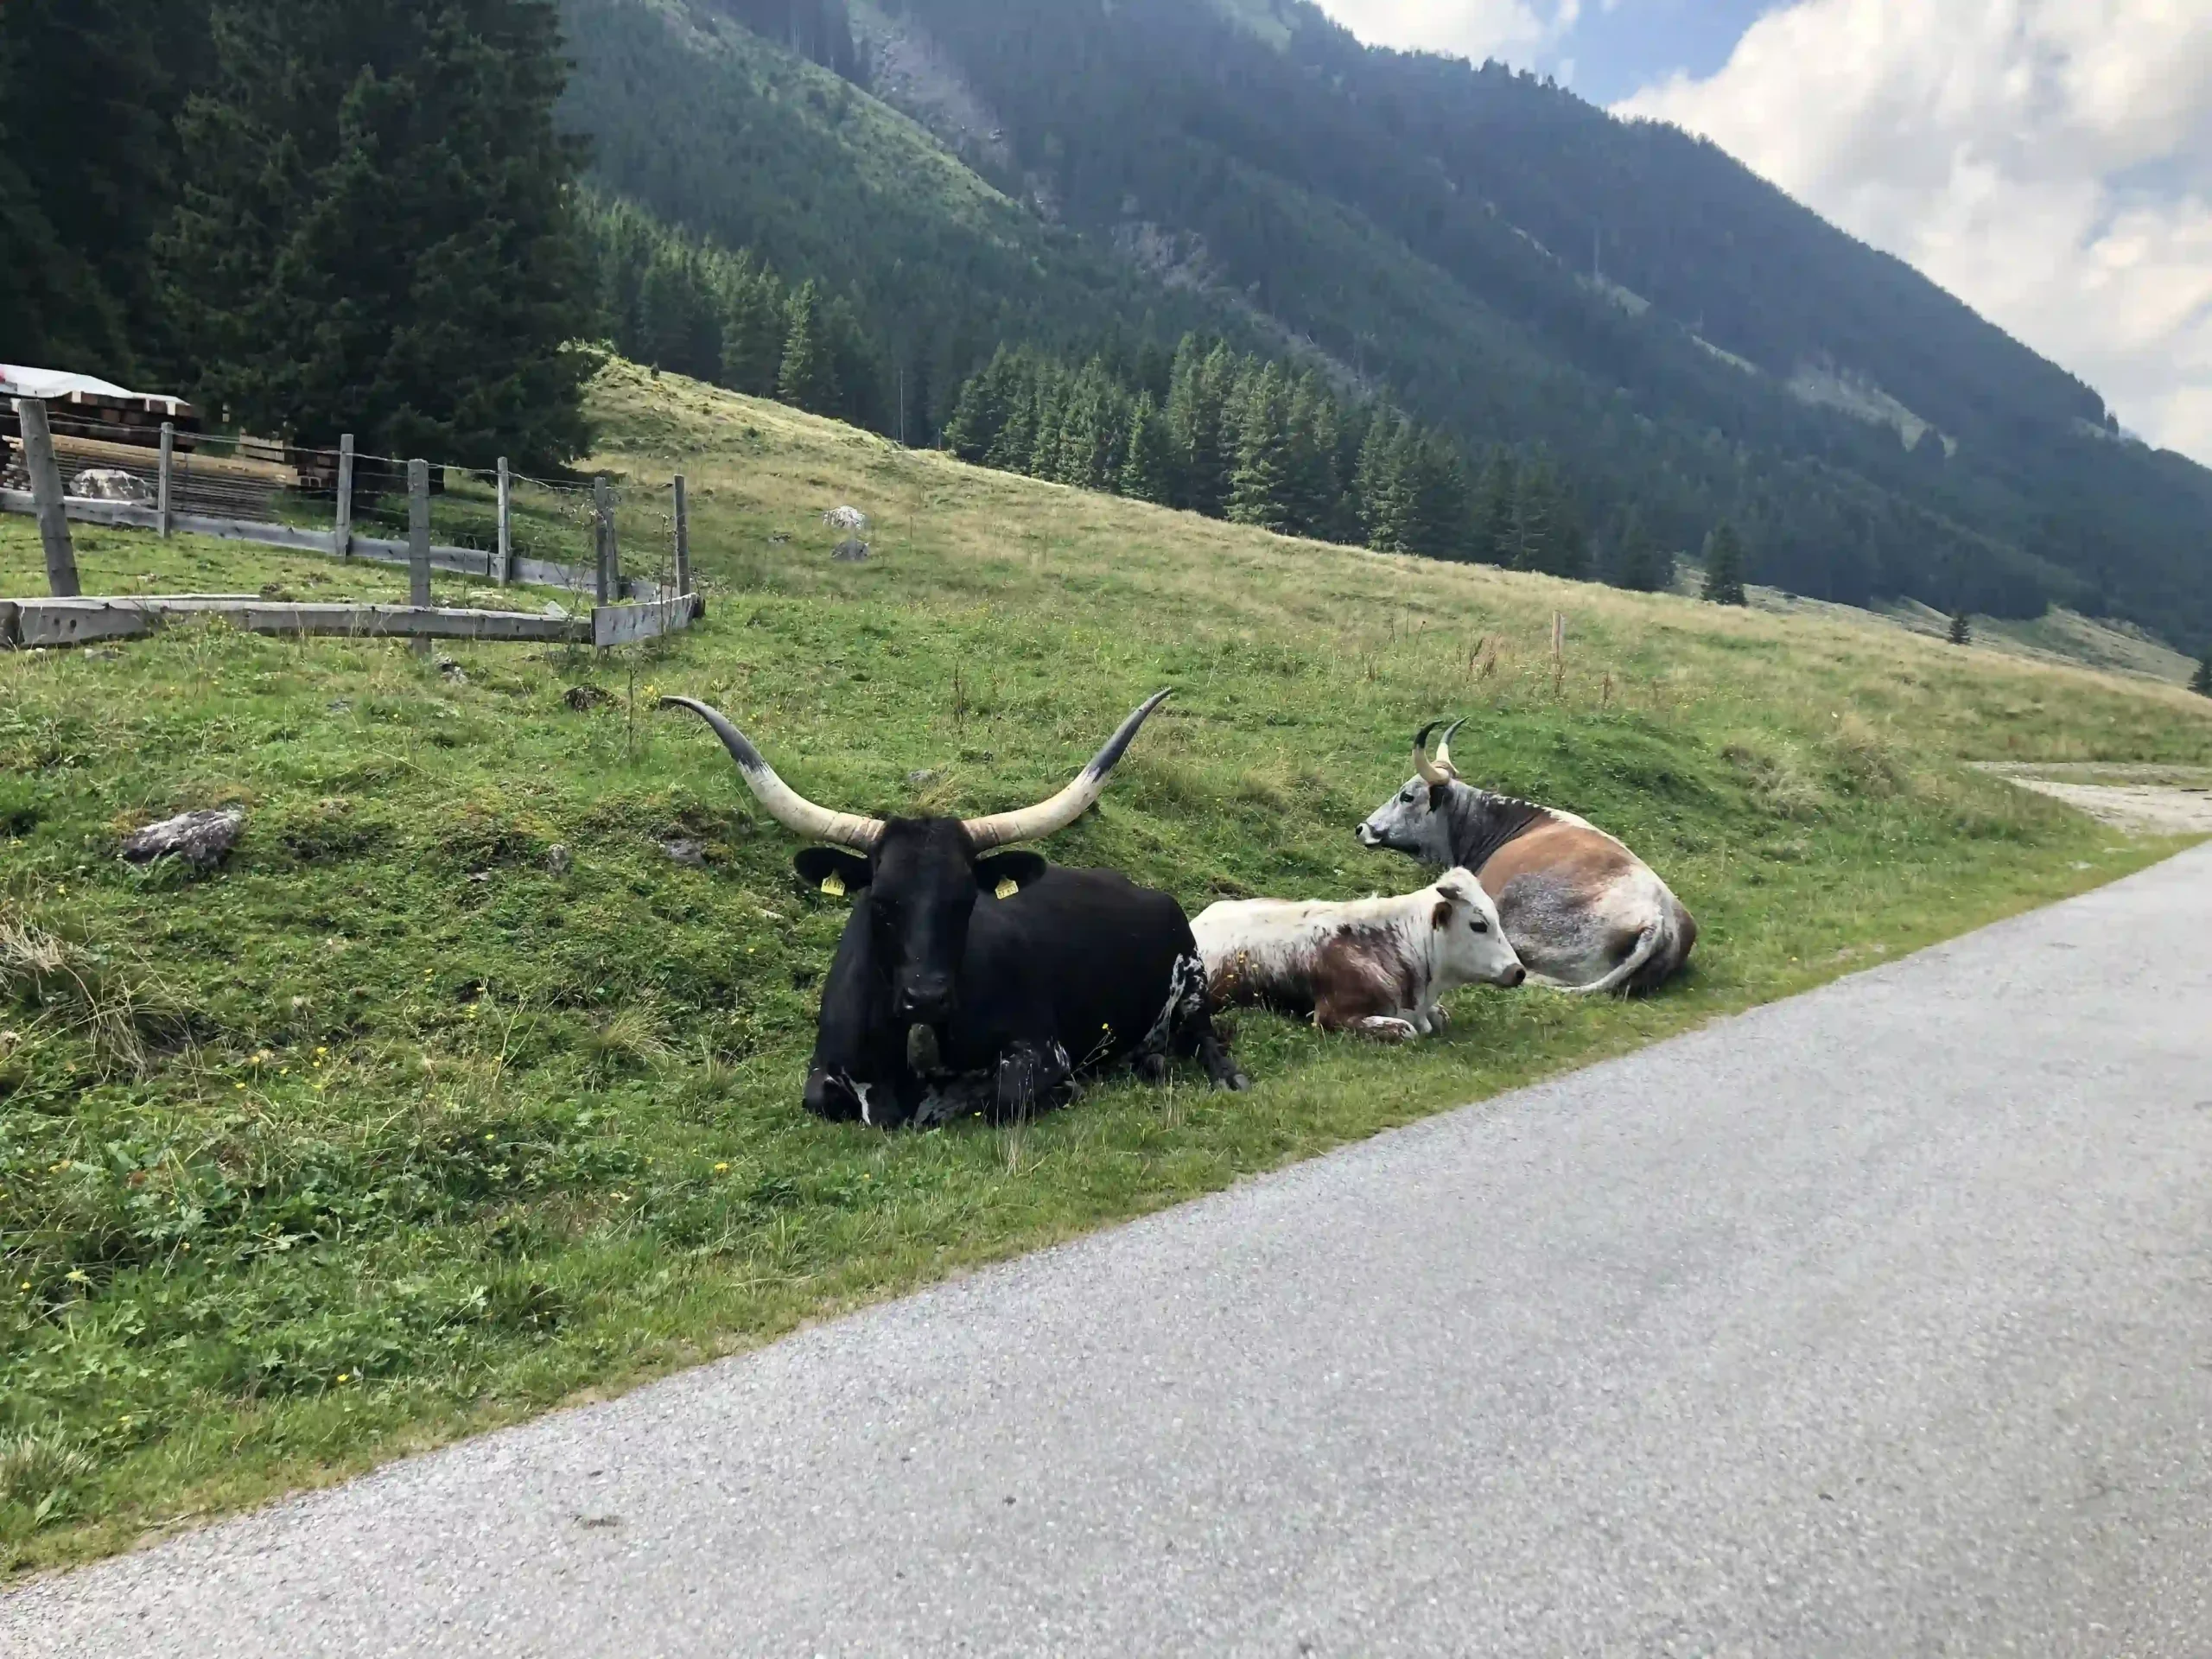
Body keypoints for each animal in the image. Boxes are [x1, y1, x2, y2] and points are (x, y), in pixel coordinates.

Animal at [661, 691, 1249, 1129]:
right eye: (880, 901)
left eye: (967, 902)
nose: (926, 997)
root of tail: (1146, 890)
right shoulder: (824, 1070)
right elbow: (822, 1099)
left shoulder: (1044, 1051)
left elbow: (1001, 1095)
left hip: (1194, 984)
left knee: (1204, 1036)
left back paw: (1224, 1075)